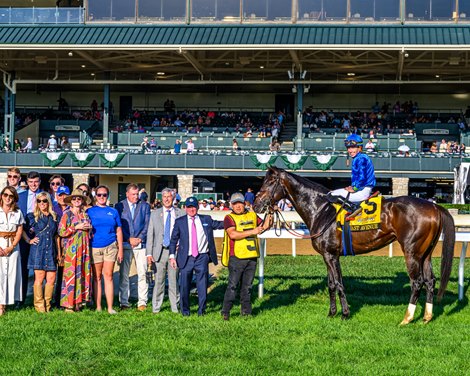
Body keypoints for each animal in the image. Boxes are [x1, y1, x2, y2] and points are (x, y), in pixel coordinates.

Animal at [253, 166, 456, 324]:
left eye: (270, 182)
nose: (255, 205)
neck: (322, 210)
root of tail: (434, 206)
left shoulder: (331, 255)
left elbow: (339, 283)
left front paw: (345, 314)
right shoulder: (327, 255)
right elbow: (331, 284)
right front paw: (331, 313)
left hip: (411, 252)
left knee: (417, 282)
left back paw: (407, 318)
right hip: (426, 253)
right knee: (430, 280)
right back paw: (427, 317)